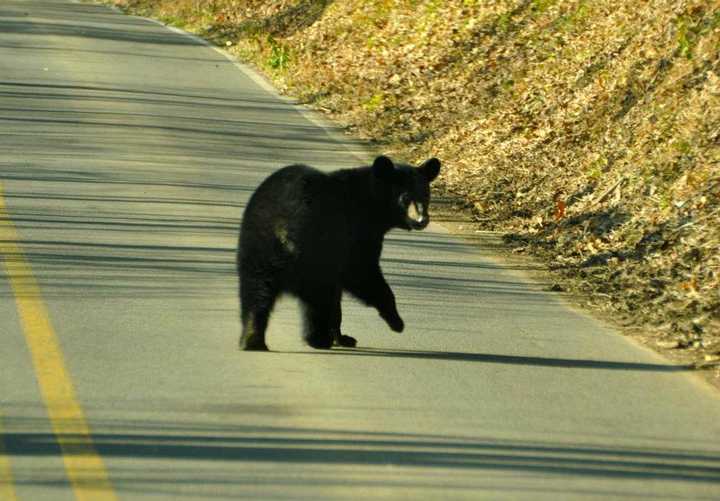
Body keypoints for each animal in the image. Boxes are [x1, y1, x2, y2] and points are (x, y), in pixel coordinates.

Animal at [238, 154, 438, 350]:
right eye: (405, 197)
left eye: (426, 194)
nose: (422, 219)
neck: (370, 206)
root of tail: (283, 230)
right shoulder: (355, 235)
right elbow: (361, 272)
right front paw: (396, 320)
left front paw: (343, 337)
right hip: (314, 252)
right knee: (317, 298)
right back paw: (317, 338)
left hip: (257, 249)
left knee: (256, 292)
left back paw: (252, 338)